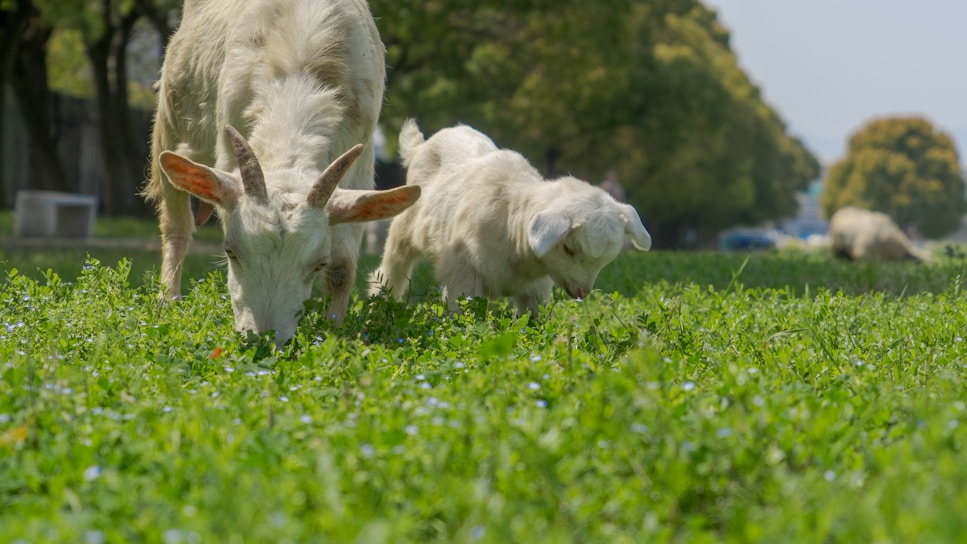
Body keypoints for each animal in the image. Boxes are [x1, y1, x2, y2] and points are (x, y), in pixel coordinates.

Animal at [143, 0, 420, 345]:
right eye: (230, 251)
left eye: (319, 263)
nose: (263, 339)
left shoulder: (361, 159)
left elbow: (342, 269)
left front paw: (333, 333)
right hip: (170, 122)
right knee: (176, 223)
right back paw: (167, 302)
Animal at [370, 120, 652, 314]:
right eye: (569, 249)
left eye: (605, 261)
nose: (583, 291)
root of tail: (420, 147)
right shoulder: (465, 275)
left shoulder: (536, 289)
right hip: (404, 226)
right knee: (391, 269)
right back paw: (381, 304)